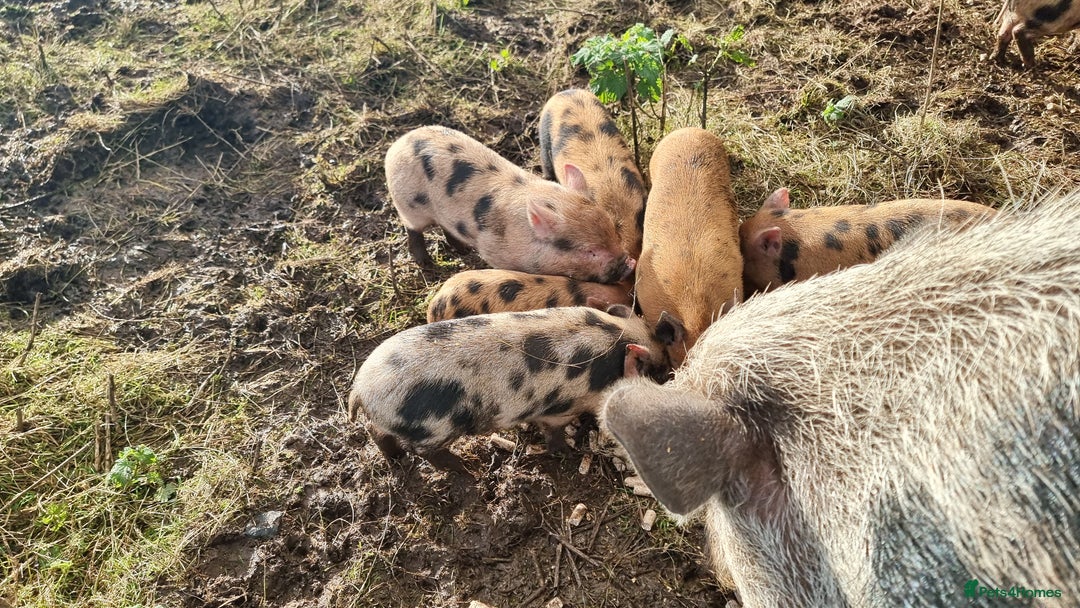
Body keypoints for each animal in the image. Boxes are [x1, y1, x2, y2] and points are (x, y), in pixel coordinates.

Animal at [348, 305, 669, 472]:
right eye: (658, 372)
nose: (670, 372)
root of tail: (360, 389)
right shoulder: (560, 409)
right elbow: (552, 432)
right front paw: (566, 453)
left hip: (390, 422)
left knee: (377, 433)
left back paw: (396, 459)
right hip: (433, 428)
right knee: (424, 452)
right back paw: (465, 468)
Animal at [385, 125, 635, 284]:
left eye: (616, 230)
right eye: (590, 252)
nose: (630, 263)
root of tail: (398, 144)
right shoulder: (494, 251)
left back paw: (464, 250)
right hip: (407, 204)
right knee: (413, 230)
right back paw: (426, 263)